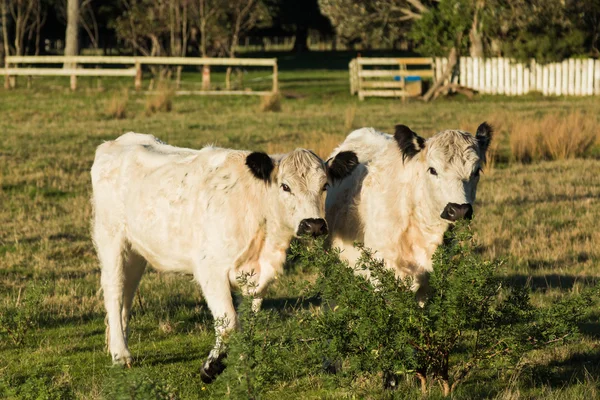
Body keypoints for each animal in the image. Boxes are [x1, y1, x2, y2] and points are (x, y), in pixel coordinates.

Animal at [91, 134, 358, 382]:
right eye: (285, 186)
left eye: (325, 186)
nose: (313, 225)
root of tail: (118, 141)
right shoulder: (210, 270)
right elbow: (228, 322)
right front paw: (212, 366)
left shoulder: (257, 277)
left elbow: (246, 322)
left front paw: (242, 363)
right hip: (111, 239)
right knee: (114, 291)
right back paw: (121, 354)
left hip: (136, 251)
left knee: (127, 292)